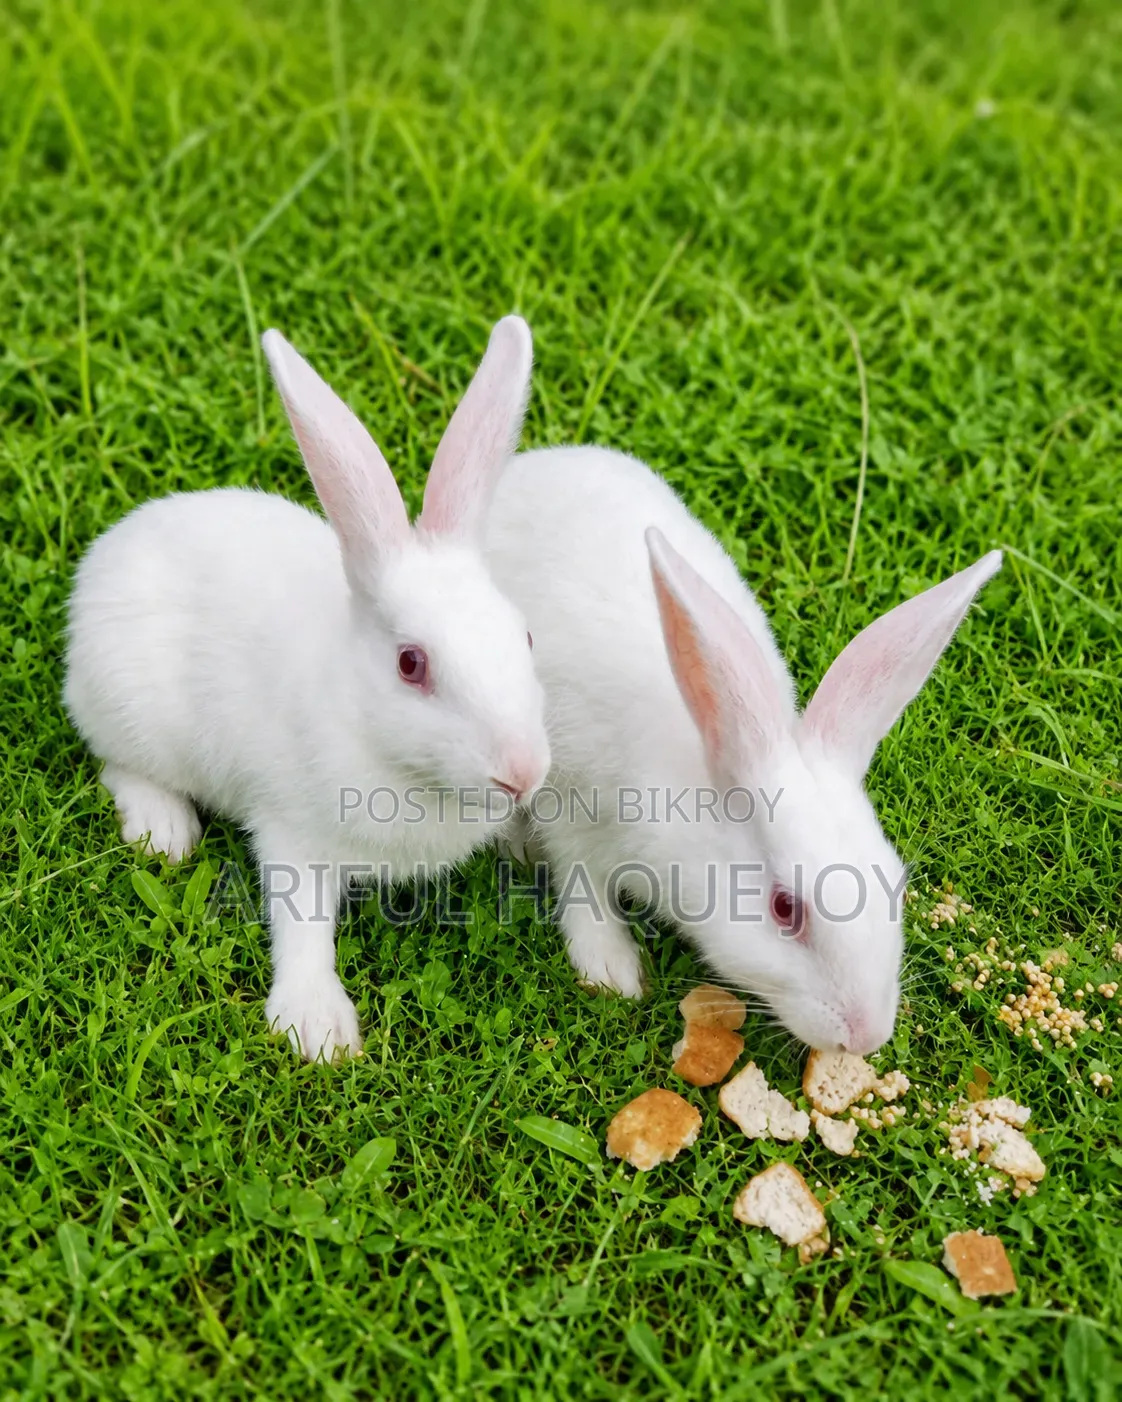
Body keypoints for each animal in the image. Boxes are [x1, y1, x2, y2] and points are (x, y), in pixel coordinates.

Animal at [64, 316, 551, 1063]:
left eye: (523, 636)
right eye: (412, 664)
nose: (523, 773)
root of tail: (108, 554)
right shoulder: (293, 833)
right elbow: (302, 926)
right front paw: (319, 1031)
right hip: (130, 711)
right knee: (118, 763)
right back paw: (164, 831)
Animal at [485, 445, 1001, 1054]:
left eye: (895, 887)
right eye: (784, 908)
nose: (867, 1036)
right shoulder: (576, 817)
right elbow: (582, 891)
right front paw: (612, 973)